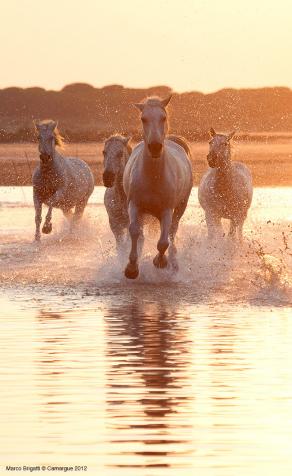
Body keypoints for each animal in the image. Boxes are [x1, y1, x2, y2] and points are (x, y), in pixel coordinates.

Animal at [122, 97, 193, 280]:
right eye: (143, 118)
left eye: (163, 117)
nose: (155, 146)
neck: (153, 177)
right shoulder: (134, 205)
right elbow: (135, 231)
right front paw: (131, 268)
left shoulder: (167, 210)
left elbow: (163, 242)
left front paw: (160, 262)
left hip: (180, 207)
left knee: (172, 232)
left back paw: (173, 262)